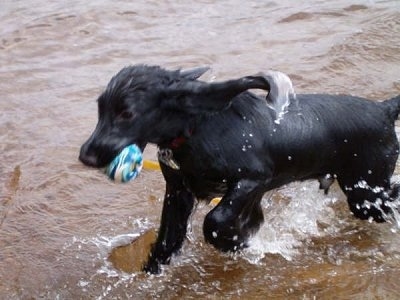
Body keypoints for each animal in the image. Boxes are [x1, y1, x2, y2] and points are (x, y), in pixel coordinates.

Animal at [79, 64, 400, 274]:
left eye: (127, 113)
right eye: (100, 109)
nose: (85, 155)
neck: (197, 128)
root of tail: (383, 110)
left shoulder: (253, 180)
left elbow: (216, 220)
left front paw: (238, 242)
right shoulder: (179, 192)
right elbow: (167, 239)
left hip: (366, 192)